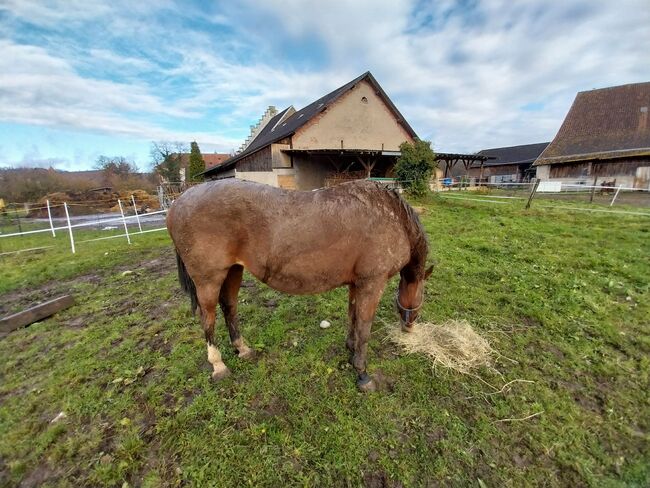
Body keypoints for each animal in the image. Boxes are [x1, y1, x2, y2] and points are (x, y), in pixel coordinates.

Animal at [166, 179, 430, 392]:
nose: (409, 328)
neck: (391, 216)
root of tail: (177, 204)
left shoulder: (356, 284)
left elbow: (353, 317)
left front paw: (350, 348)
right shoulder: (372, 283)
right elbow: (364, 329)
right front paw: (362, 374)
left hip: (233, 271)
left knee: (229, 307)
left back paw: (242, 349)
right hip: (209, 279)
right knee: (208, 317)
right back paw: (218, 365)